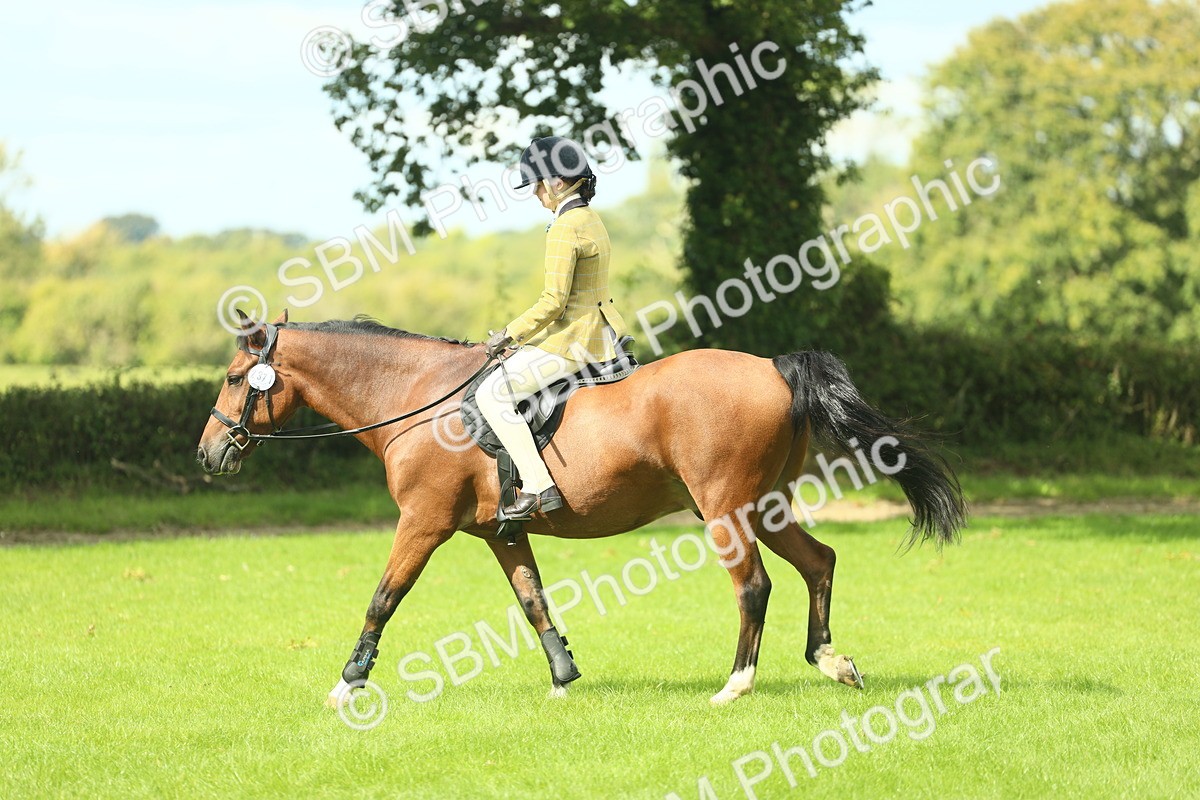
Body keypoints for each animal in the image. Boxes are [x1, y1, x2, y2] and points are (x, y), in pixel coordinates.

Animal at [197, 310, 967, 707]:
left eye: (236, 377)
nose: (209, 455)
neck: (418, 399)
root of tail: (773, 368)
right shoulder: (499, 533)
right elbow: (532, 598)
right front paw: (564, 677)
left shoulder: (423, 523)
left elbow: (383, 597)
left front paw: (347, 683)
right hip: (766, 505)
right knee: (819, 562)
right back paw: (831, 661)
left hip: (725, 509)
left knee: (754, 584)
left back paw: (736, 685)